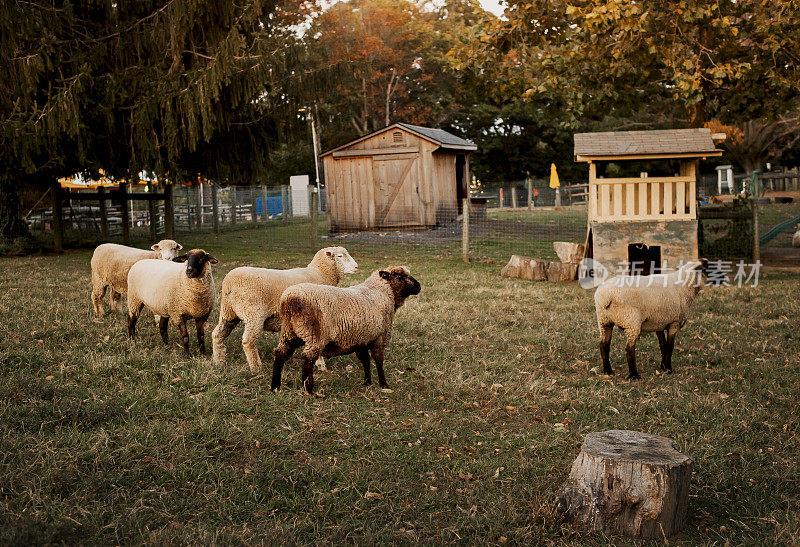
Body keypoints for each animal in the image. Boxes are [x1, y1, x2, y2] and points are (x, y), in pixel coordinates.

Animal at [211, 247, 358, 372]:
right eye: (340, 256)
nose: (357, 267)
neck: (321, 273)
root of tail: (229, 283)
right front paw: (321, 367)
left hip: (228, 313)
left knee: (217, 334)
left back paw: (219, 362)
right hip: (253, 313)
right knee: (248, 341)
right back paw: (257, 369)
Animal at [270, 266, 418, 394]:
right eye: (399, 276)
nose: (419, 286)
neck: (382, 290)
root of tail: (290, 299)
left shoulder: (361, 339)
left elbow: (365, 360)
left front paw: (367, 382)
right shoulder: (379, 336)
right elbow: (378, 360)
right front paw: (384, 384)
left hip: (289, 332)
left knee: (280, 353)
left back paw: (275, 386)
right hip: (315, 334)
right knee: (308, 358)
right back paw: (309, 390)